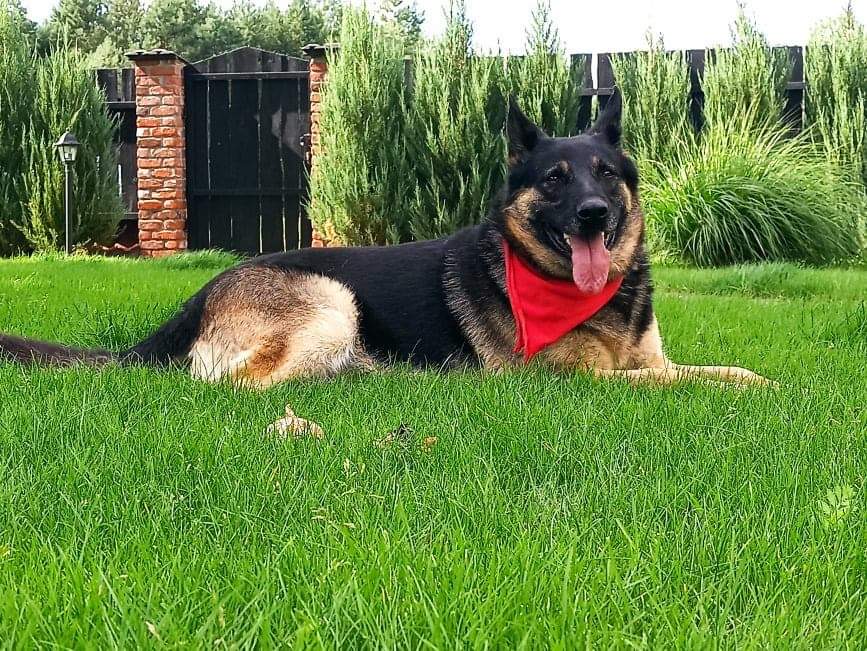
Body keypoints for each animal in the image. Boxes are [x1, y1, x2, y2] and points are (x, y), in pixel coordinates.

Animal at [0, 91, 769, 388]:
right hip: (332, 303)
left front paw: (758, 380)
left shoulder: (643, 356)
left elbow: (713, 369)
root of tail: (201, 294)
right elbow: (671, 380)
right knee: (236, 384)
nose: (592, 215)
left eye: (605, 174)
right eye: (553, 180)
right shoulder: (577, 377)